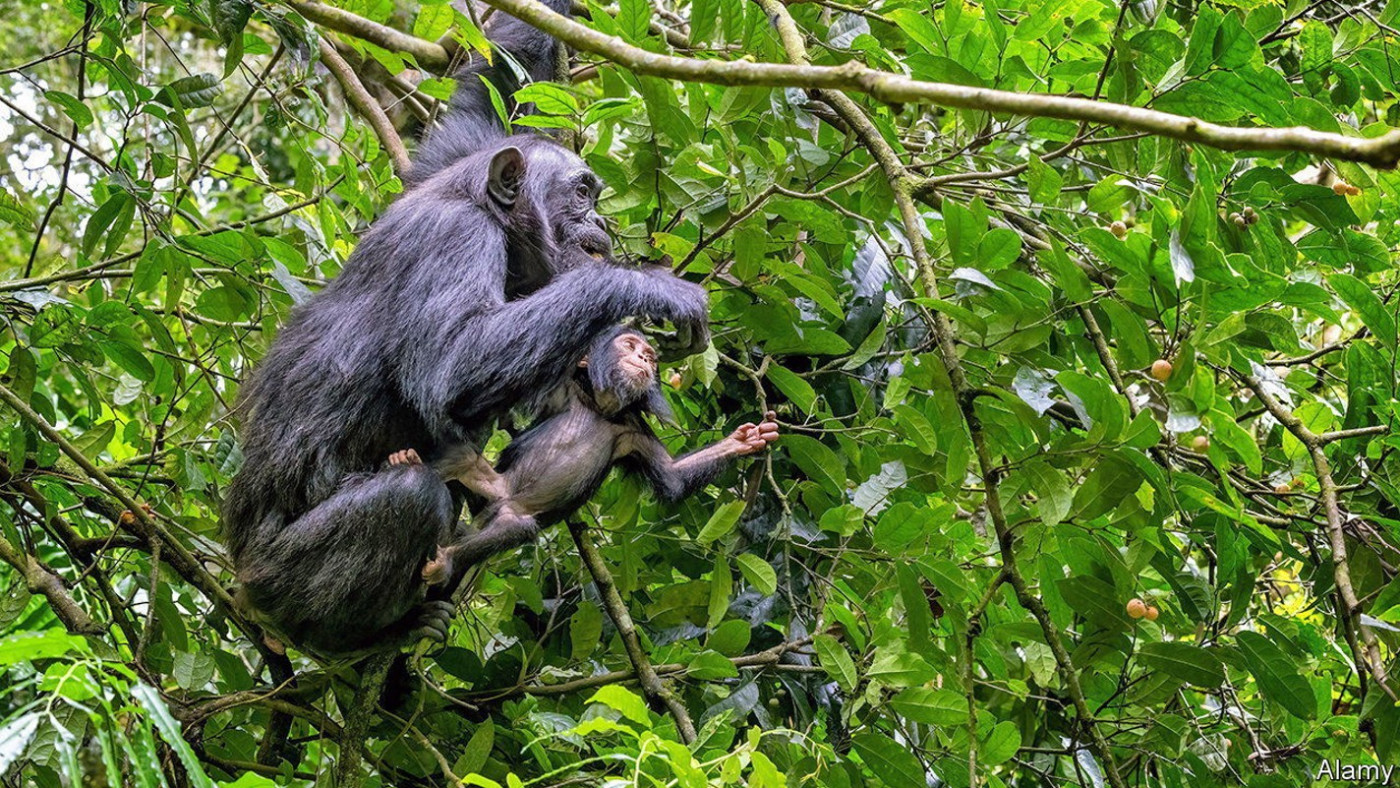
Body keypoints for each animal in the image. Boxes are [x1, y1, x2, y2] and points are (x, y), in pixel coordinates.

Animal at [224, 0, 705, 655]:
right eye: (582, 193)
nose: (602, 221)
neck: (492, 219)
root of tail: (240, 586)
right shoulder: (456, 240)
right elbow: (454, 365)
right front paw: (653, 289)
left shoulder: (455, 155)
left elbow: (496, 84)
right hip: (279, 582)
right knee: (410, 494)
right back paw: (363, 643)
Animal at [420, 327, 784, 593]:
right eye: (630, 344)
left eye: (650, 356)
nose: (645, 356)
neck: (598, 404)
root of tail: (498, 499)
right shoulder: (560, 386)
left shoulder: (633, 430)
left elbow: (672, 476)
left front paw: (745, 441)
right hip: (487, 487)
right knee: (462, 459)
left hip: (507, 511)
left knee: (514, 528)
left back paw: (446, 559)